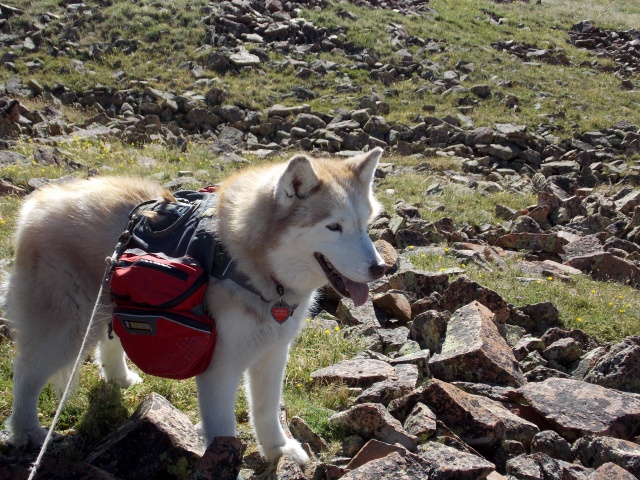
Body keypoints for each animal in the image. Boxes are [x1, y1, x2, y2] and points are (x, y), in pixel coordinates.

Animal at [3, 147, 384, 464]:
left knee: (108, 343)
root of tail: (37, 204)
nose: (380, 268)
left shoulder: (273, 353)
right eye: (333, 226)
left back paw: (121, 379)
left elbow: (265, 410)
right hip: (68, 328)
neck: (251, 264)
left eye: (365, 225)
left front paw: (278, 450)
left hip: (109, 305)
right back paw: (26, 431)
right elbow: (223, 429)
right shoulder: (220, 366)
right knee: (26, 373)